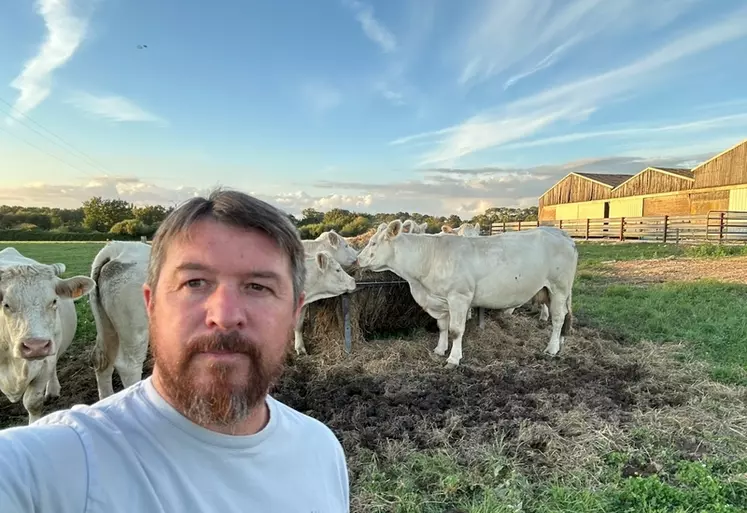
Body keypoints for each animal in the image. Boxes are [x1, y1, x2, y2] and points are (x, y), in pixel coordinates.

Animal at [356, 222, 580, 366]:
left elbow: (456, 330)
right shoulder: (440, 299)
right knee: (564, 316)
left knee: (558, 318)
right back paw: (560, 343)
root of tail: (560, 233)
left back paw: (551, 349)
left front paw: (453, 359)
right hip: (550, 290)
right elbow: (442, 326)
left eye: (373, 243)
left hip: (559, 287)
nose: (358, 259)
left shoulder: (459, 297)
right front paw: (440, 349)